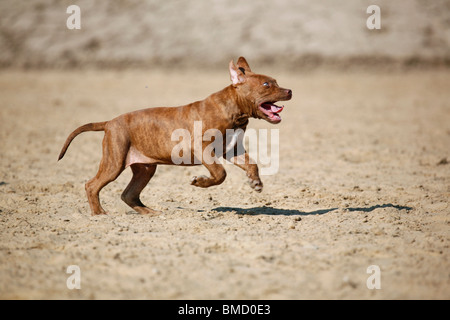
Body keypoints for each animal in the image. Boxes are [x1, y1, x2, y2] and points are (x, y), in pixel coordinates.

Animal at [57, 57, 292, 215]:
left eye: (276, 81)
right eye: (266, 85)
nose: (290, 91)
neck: (234, 111)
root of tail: (109, 122)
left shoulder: (232, 149)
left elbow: (251, 164)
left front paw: (255, 183)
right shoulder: (202, 148)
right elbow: (220, 173)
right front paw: (200, 182)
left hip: (145, 168)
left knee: (128, 194)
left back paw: (150, 213)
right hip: (114, 161)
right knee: (92, 185)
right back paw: (100, 215)